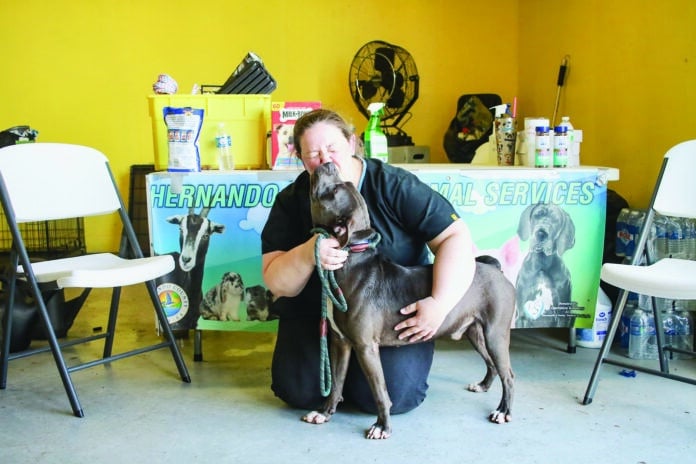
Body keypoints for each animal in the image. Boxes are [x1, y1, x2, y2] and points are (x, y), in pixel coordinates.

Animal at [306, 162, 516, 438]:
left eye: (334, 190)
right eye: (340, 186)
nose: (328, 164)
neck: (352, 261)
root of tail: (494, 268)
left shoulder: (365, 347)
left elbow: (380, 391)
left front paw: (382, 426)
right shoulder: (341, 343)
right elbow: (337, 383)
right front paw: (324, 412)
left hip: (495, 334)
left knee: (508, 375)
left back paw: (503, 411)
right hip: (475, 332)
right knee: (492, 364)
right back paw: (483, 385)